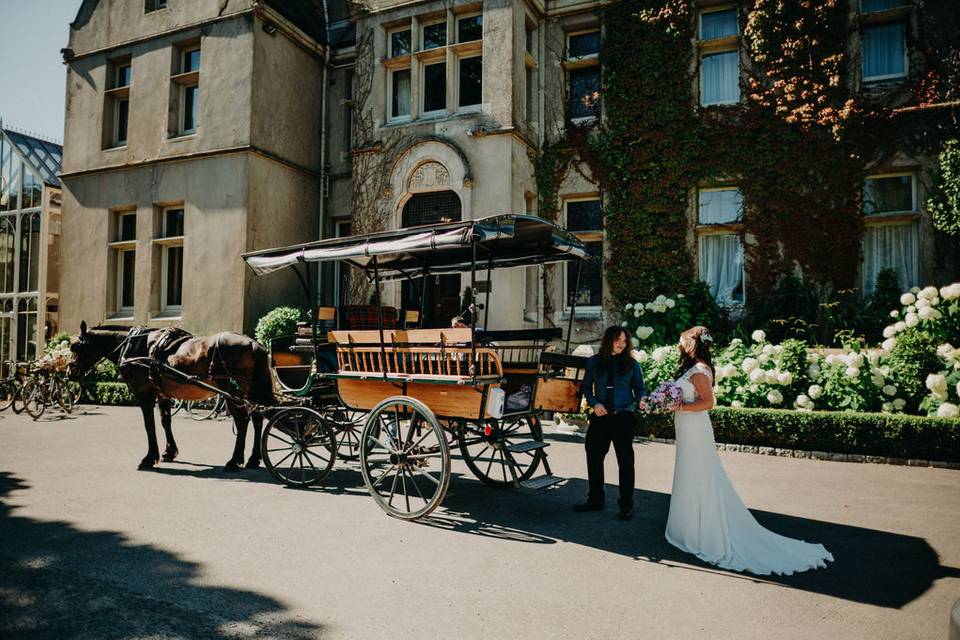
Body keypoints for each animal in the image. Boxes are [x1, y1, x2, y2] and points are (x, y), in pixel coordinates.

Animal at [68, 322, 276, 472]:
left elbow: (149, 426)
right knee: (257, 419)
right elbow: (165, 421)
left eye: (76, 347)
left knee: (242, 422)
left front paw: (149, 458)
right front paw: (169, 451)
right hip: (250, 391)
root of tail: (253, 343)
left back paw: (234, 460)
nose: (70, 372)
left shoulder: (144, 395)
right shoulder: (162, 394)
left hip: (232, 391)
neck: (136, 347)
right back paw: (253, 458)